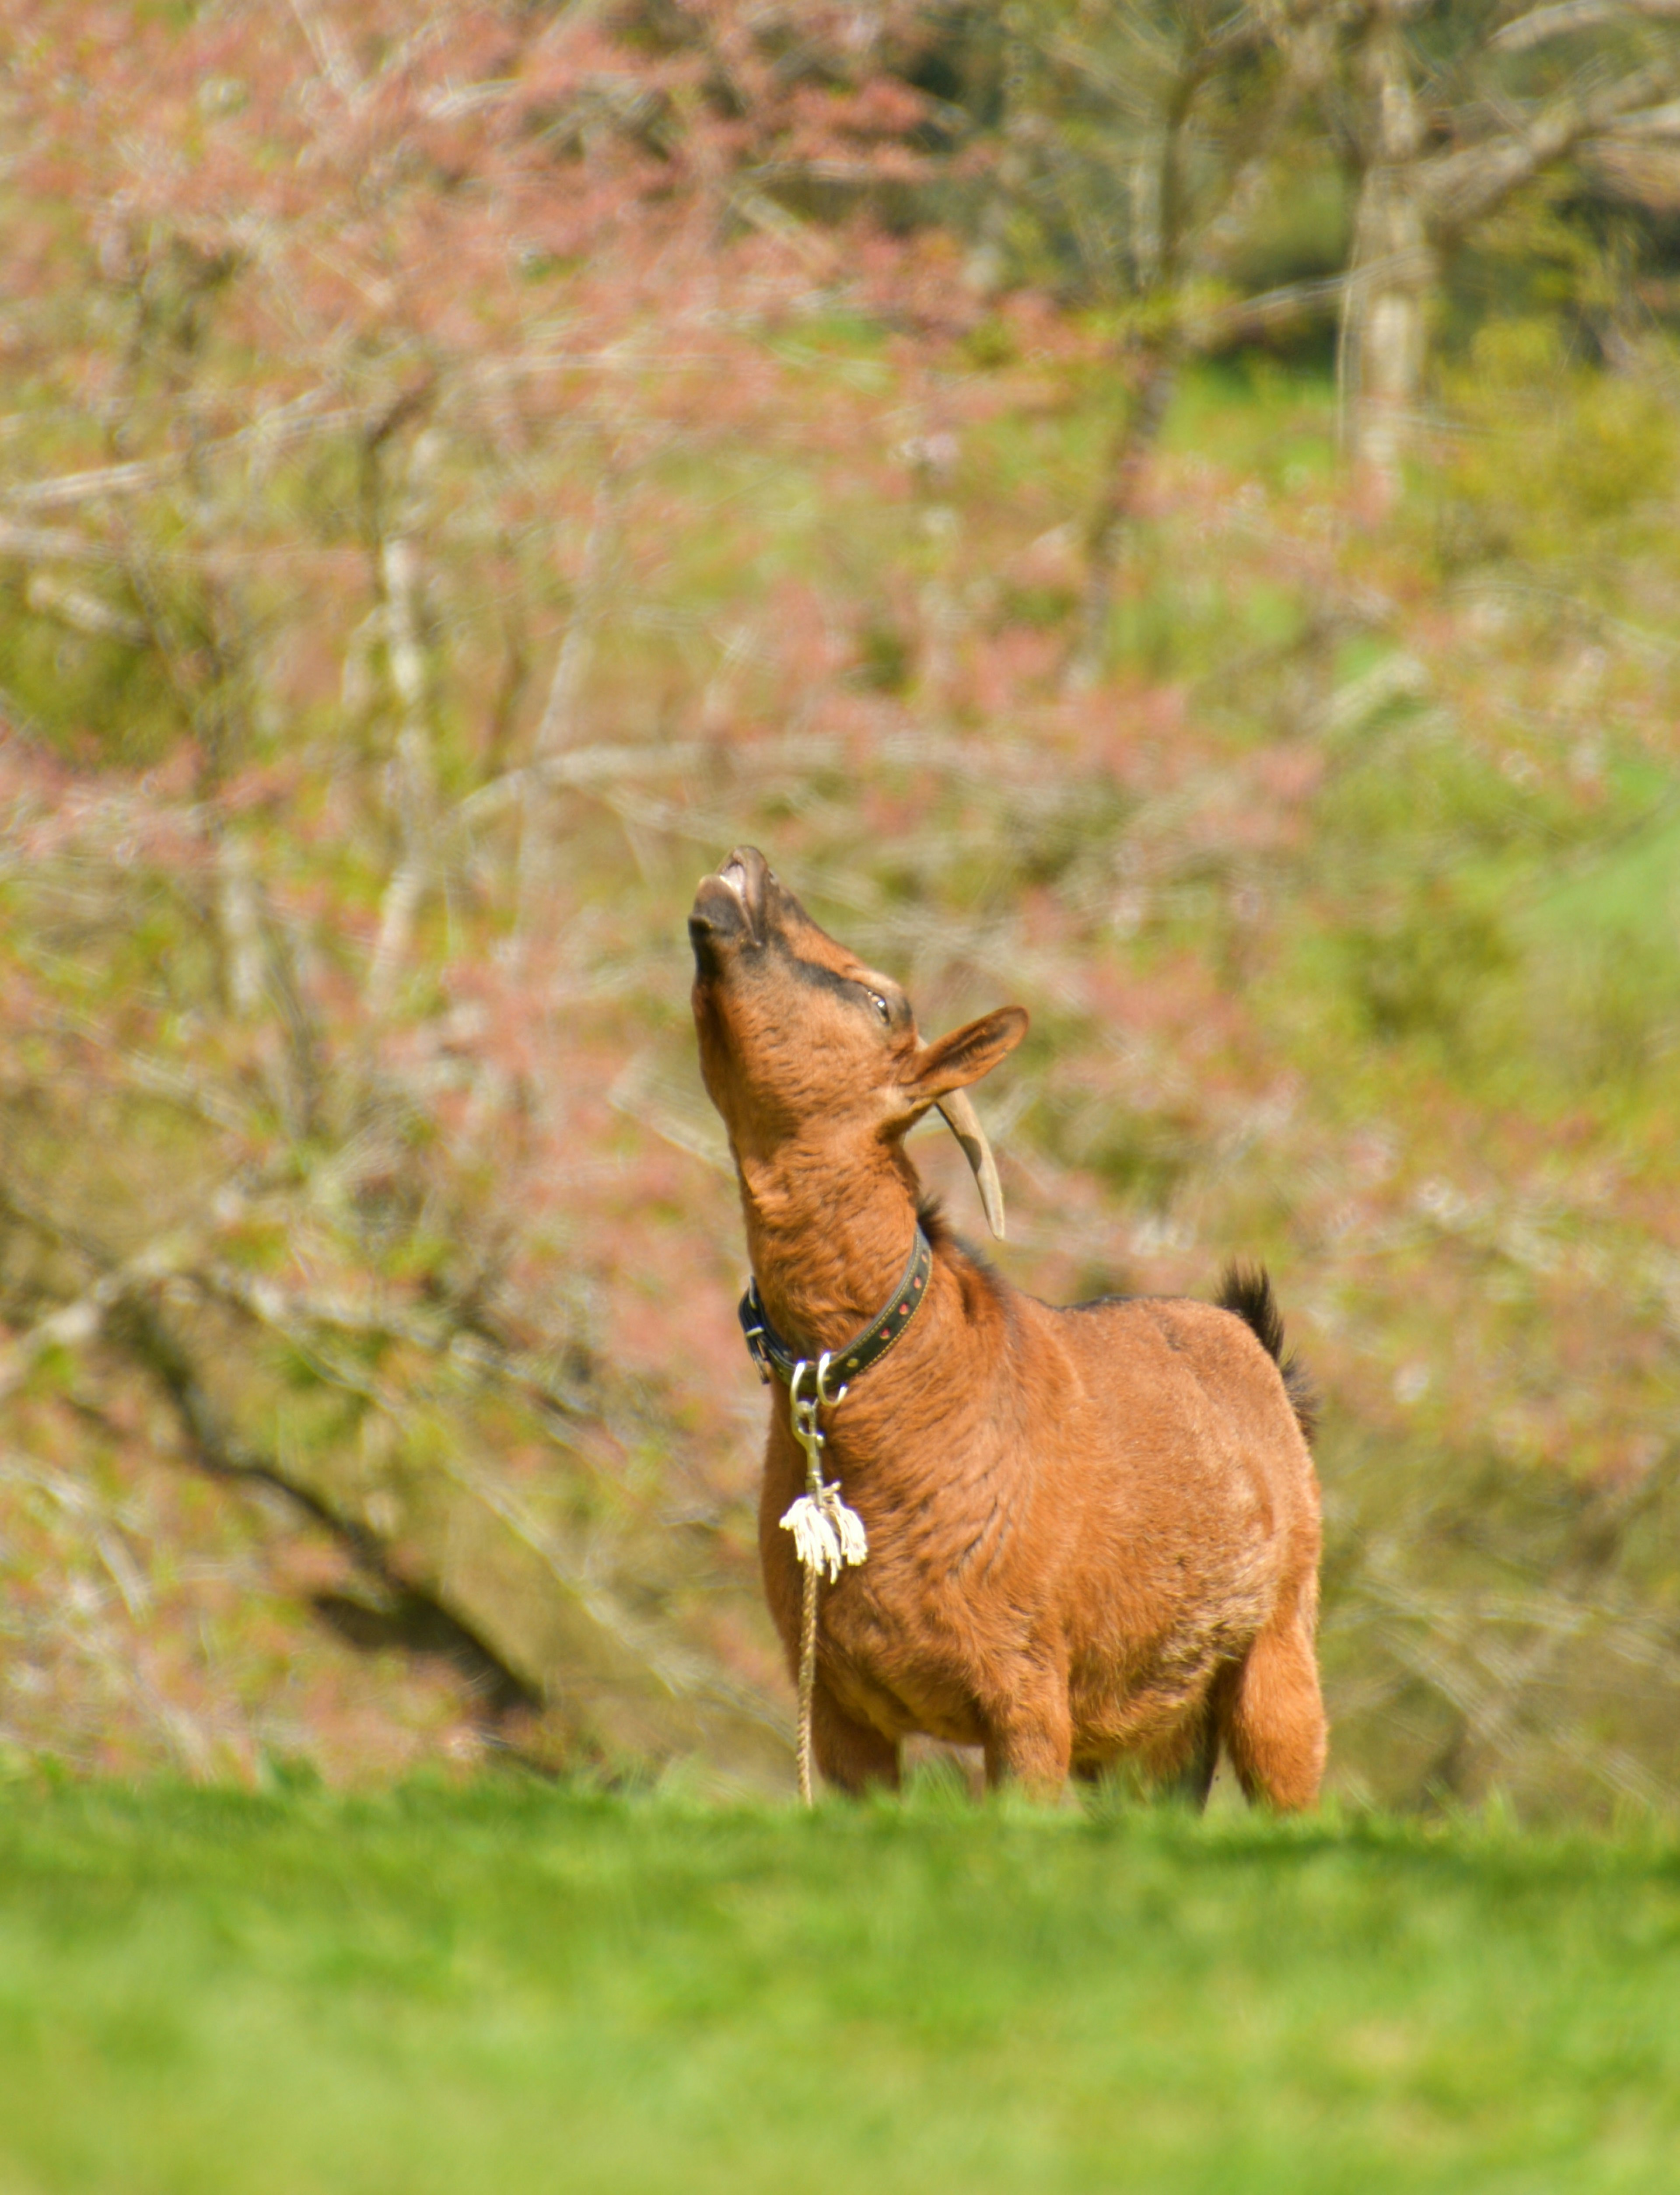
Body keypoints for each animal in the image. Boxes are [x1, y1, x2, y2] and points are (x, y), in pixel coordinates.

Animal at [685, 843, 1326, 1799]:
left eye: (880, 999)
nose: (745, 864)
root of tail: (1252, 1345)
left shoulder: (1027, 1691)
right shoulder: (838, 1707)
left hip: (1280, 1650)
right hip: (1155, 1729)